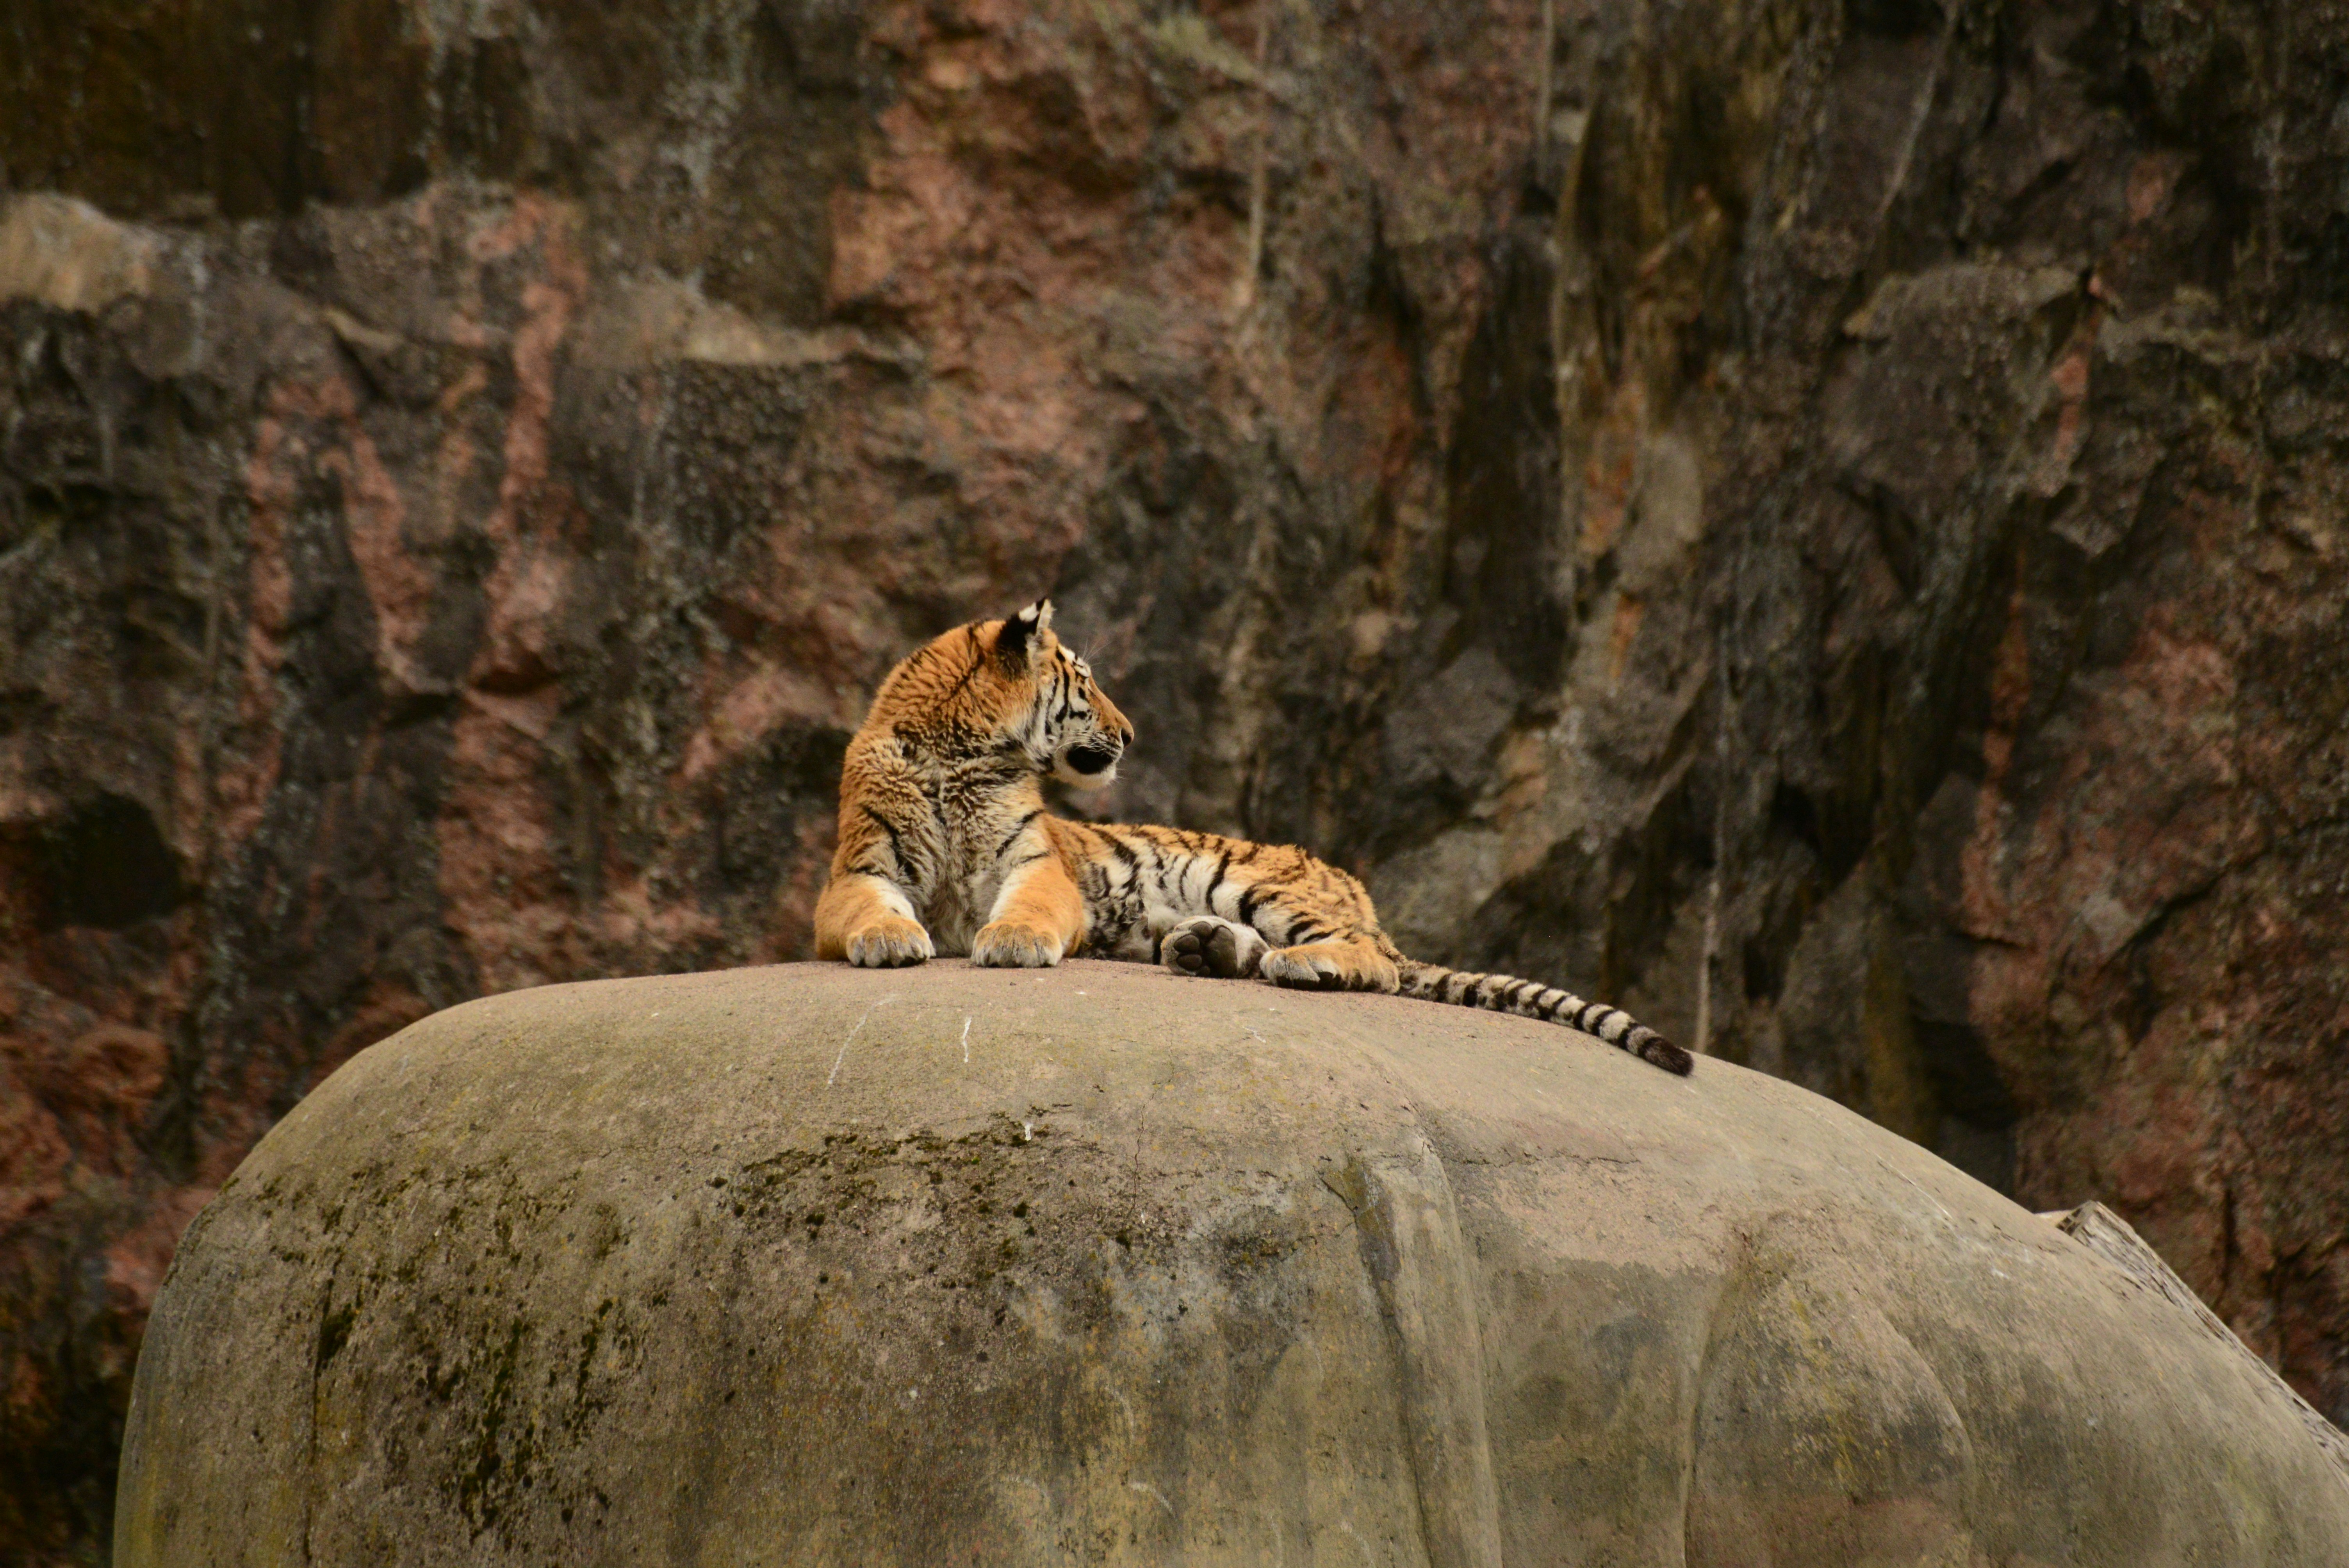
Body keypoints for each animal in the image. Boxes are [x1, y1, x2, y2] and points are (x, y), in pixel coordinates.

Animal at [812, 601, 1693, 1074]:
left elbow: (1025, 908)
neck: (964, 754)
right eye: (1085, 681)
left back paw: (1295, 963)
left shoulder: (1035, 866)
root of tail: (1363, 898)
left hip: (1254, 881)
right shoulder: (855, 873)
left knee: (1367, 962)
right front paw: (893, 941)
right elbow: (872, 911)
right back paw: (1203, 951)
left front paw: (1011, 943)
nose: (1131, 734)